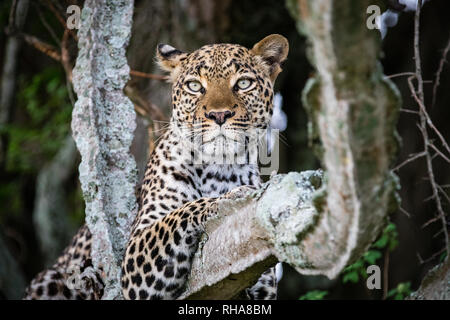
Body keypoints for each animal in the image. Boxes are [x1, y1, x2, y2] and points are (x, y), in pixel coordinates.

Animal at [24, 34, 290, 300]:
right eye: (195, 86)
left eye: (243, 83)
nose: (219, 115)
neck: (220, 169)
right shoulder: (136, 254)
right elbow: (180, 213)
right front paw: (230, 198)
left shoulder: (263, 285)